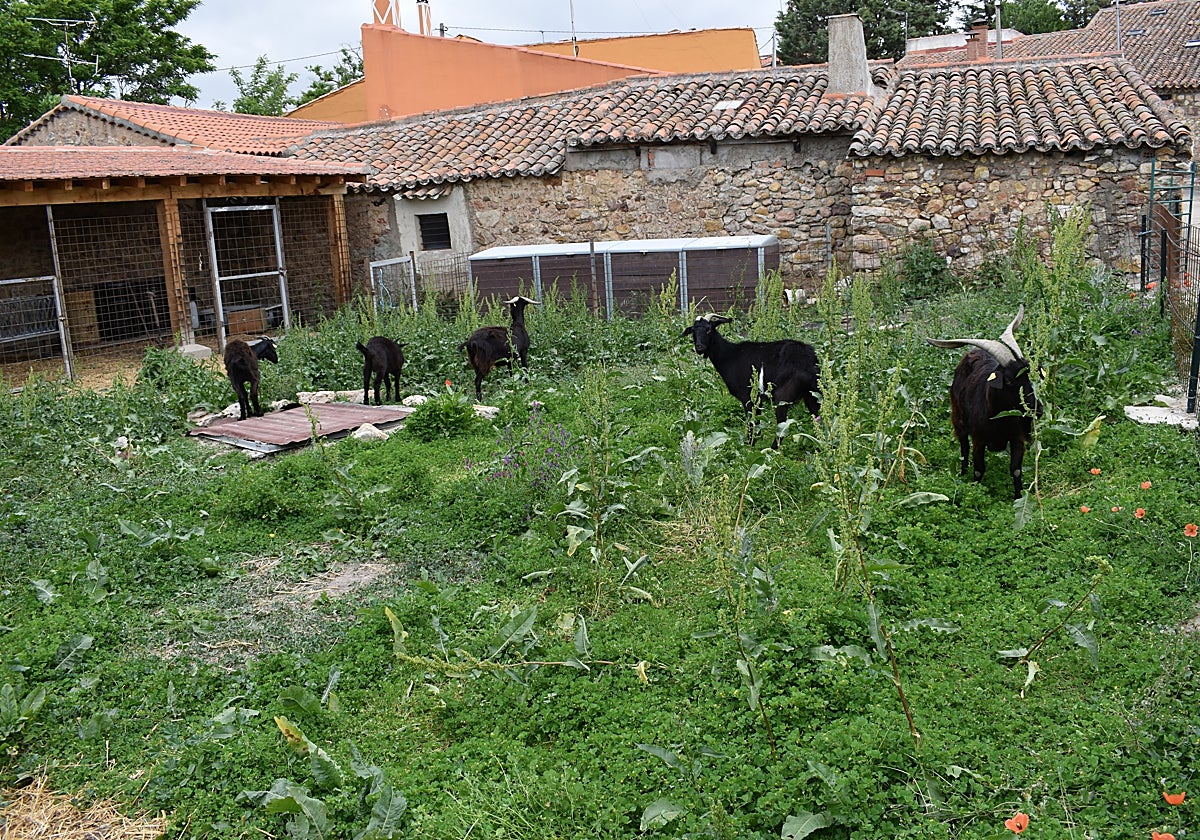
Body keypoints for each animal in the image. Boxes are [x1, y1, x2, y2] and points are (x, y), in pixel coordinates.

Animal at [682, 314, 821, 447]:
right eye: (693, 331)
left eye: (709, 329)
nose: (699, 347)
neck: (730, 356)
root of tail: (809, 360)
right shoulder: (758, 399)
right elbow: (757, 424)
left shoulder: (748, 397)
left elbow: (752, 424)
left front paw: (750, 446)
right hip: (812, 393)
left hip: (782, 395)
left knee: (782, 425)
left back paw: (772, 448)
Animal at [927, 305, 1043, 499]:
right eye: (1008, 380)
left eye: (1029, 375)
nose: (1037, 408)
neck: (997, 417)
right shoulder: (978, 439)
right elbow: (979, 469)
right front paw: (974, 492)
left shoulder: (1017, 438)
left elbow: (1016, 469)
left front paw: (1018, 497)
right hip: (958, 419)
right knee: (964, 448)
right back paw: (962, 473)